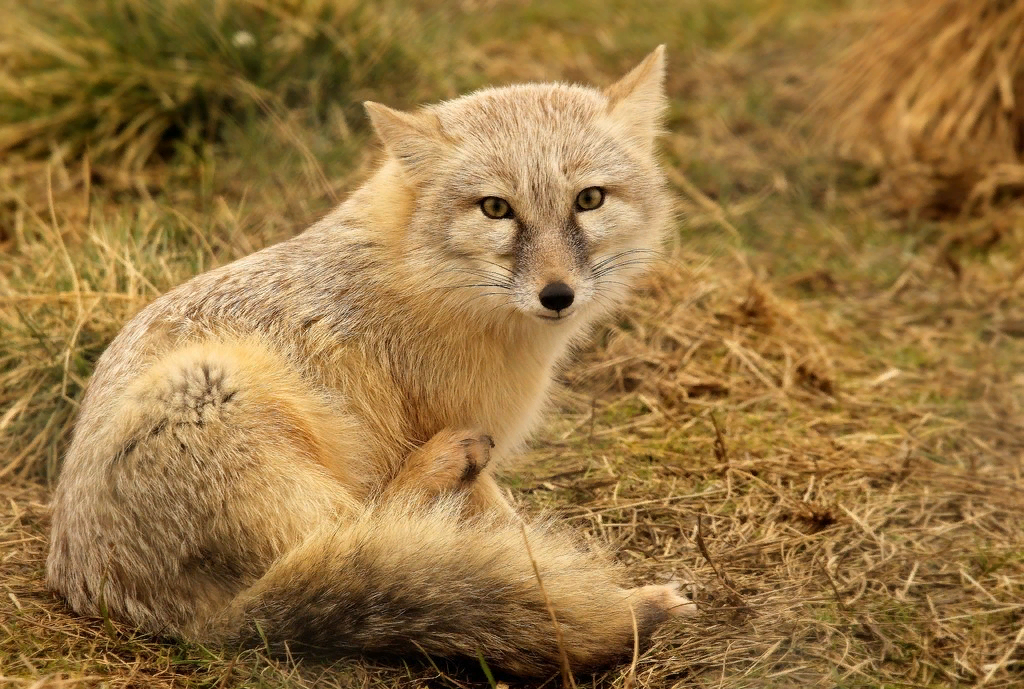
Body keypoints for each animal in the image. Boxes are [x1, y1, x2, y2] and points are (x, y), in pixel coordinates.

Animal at [44, 45, 692, 675]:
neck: (420, 275)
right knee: (371, 528)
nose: (557, 295)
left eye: (589, 199)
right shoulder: (451, 424)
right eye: (495, 208)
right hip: (216, 389)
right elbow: (509, 533)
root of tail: (200, 629)